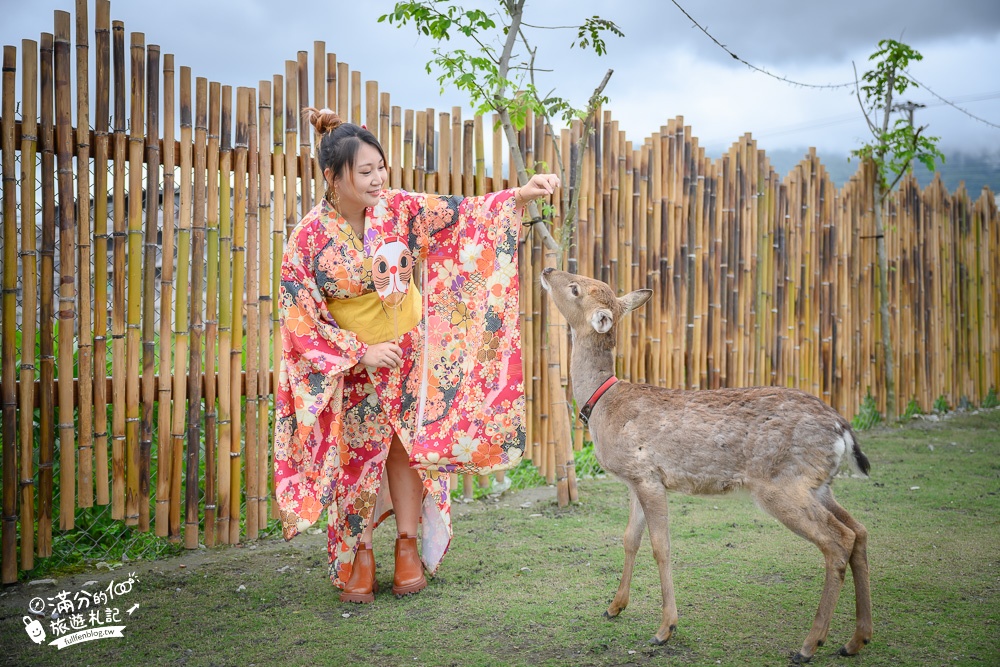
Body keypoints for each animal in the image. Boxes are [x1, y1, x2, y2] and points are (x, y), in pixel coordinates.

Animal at [540, 268, 876, 664]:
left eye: (575, 288)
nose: (547, 270)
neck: (603, 405)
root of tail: (843, 430)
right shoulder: (637, 479)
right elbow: (629, 539)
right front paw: (614, 607)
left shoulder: (646, 476)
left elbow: (661, 547)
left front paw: (665, 629)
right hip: (818, 484)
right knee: (858, 531)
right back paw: (856, 639)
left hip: (781, 486)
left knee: (837, 541)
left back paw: (810, 645)